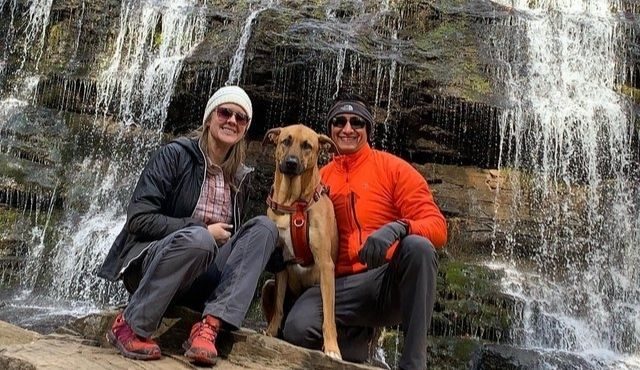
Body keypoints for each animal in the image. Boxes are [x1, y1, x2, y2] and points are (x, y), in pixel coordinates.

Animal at [262, 123, 342, 358]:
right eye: (285, 141)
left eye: (308, 145)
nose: (291, 163)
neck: (294, 205)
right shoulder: (280, 262)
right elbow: (279, 307)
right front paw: (271, 331)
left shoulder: (325, 264)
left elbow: (329, 316)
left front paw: (332, 348)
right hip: (268, 285)